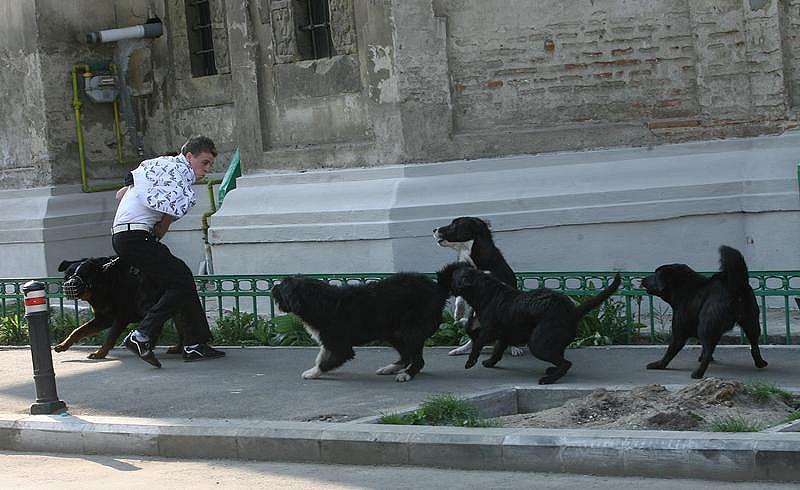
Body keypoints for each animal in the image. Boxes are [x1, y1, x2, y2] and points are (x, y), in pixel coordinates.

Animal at [54, 258, 184, 358]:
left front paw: (100, 353)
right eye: (67, 276)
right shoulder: (103, 318)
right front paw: (63, 345)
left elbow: (111, 336)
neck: (104, 284)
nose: (69, 284)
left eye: (83, 276)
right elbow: (79, 330)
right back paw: (177, 348)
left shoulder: (122, 316)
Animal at [268, 264, 460, 382]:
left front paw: (312, 372)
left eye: (283, 287)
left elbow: (325, 360)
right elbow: (322, 356)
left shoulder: (339, 345)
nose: (273, 288)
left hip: (411, 328)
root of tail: (438, 289)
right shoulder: (329, 341)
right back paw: (390, 368)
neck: (320, 302)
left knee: (417, 359)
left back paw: (406, 375)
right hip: (393, 332)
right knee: (407, 355)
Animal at [432, 216, 524, 354]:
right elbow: (459, 298)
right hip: (472, 322)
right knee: (473, 338)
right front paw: (458, 313)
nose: (434, 229)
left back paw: (514, 347)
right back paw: (461, 349)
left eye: (454, 225)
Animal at [446, 262, 620, 384]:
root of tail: (572, 312)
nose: (446, 283)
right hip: (551, 343)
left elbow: (478, 343)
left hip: (538, 344)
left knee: (566, 363)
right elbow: (498, 350)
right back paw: (552, 370)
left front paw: (470, 361)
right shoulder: (505, 334)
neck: (486, 293)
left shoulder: (489, 331)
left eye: (453, 278)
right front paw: (490, 362)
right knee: (561, 359)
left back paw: (548, 379)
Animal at [640, 245, 764, 378]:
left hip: (705, 327)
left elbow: (670, 350)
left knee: (708, 352)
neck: (683, 288)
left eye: (655, 275)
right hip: (751, 322)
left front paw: (659, 364)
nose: (642, 279)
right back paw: (760, 363)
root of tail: (734, 286)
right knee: (754, 345)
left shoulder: (679, 331)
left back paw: (698, 373)